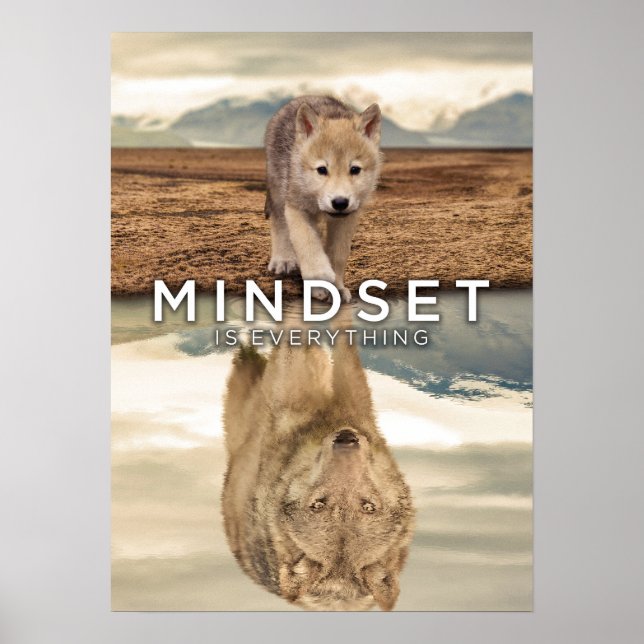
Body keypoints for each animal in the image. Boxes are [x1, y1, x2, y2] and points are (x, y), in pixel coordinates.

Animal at [264, 96, 382, 303]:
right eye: (322, 169)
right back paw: (283, 260)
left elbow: (338, 254)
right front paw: (319, 275)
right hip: (278, 192)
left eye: (355, 169)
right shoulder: (295, 207)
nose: (340, 202)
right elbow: (307, 241)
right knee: (279, 223)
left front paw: (336, 288)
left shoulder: (348, 217)